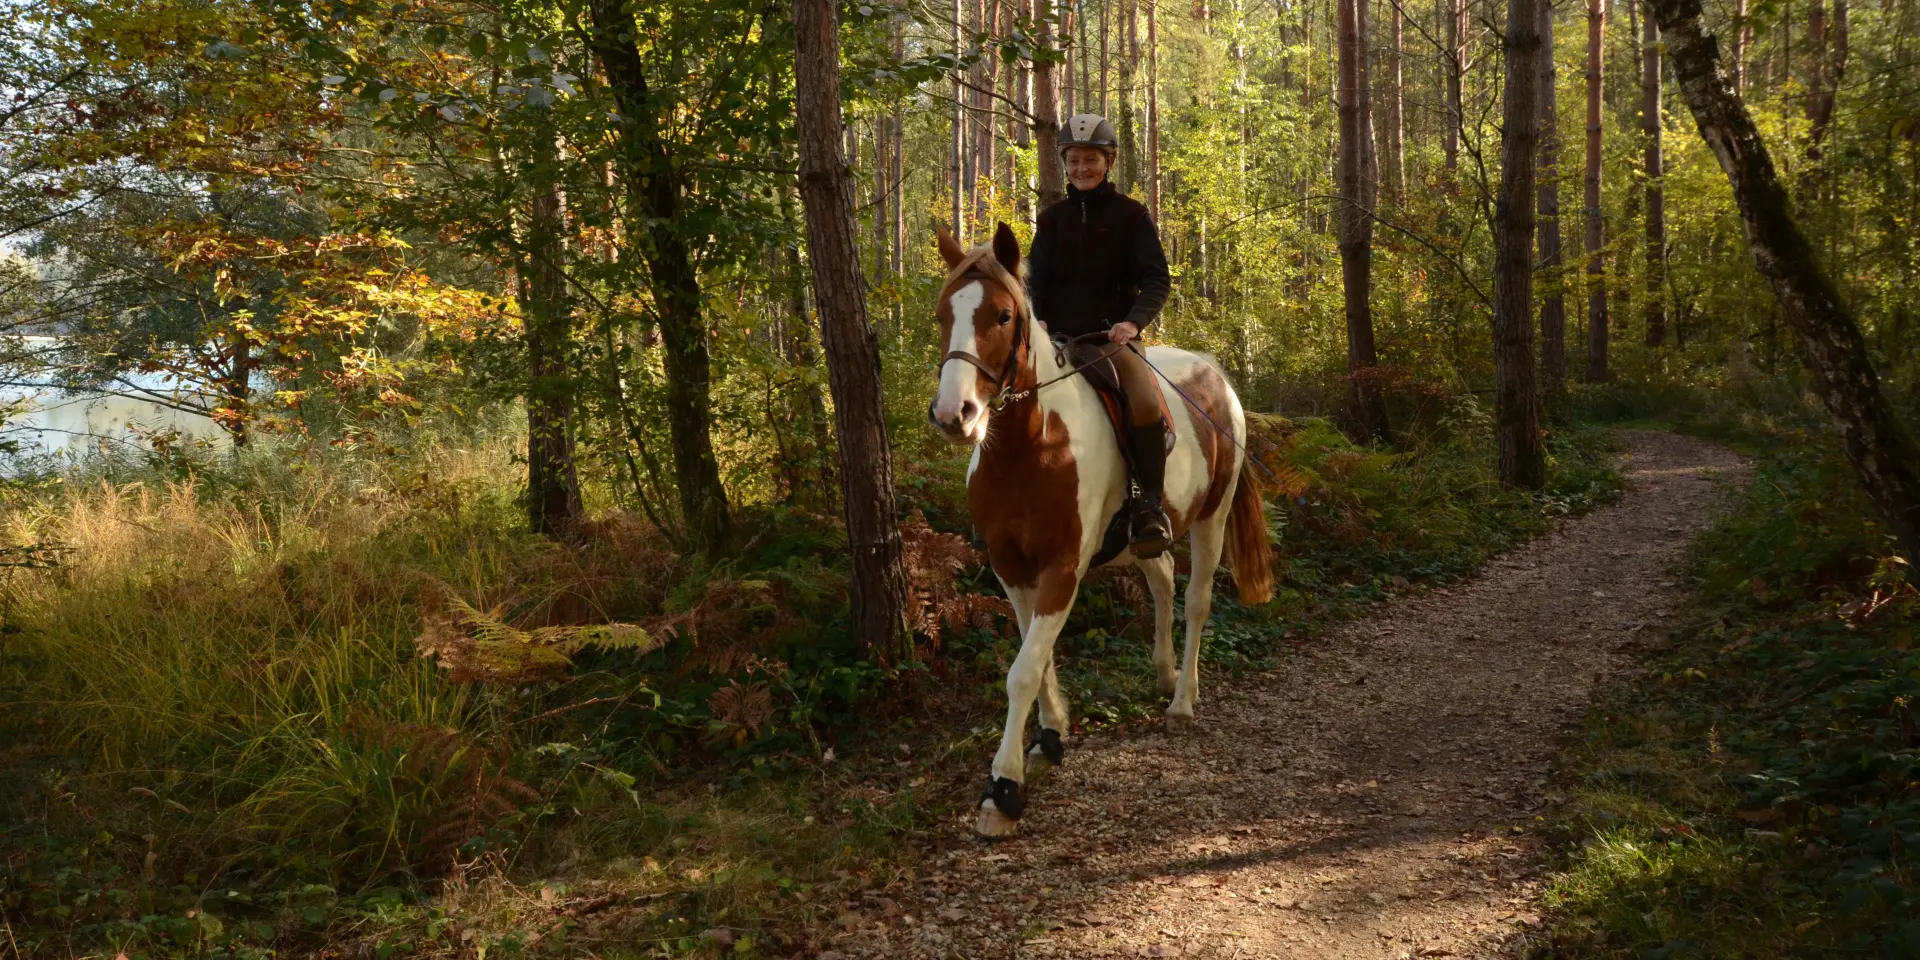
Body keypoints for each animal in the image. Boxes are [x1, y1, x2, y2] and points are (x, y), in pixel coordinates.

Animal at [927, 222, 1275, 838]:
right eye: (944, 313)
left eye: (1002, 315)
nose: (954, 415)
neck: (1030, 447)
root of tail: (1214, 373)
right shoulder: (1012, 569)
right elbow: (1036, 656)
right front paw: (1049, 737)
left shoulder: (1061, 569)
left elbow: (1023, 671)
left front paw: (1003, 789)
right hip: (1146, 536)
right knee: (1162, 579)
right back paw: (1163, 674)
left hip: (1211, 519)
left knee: (1196, 600)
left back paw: (1182, 701)